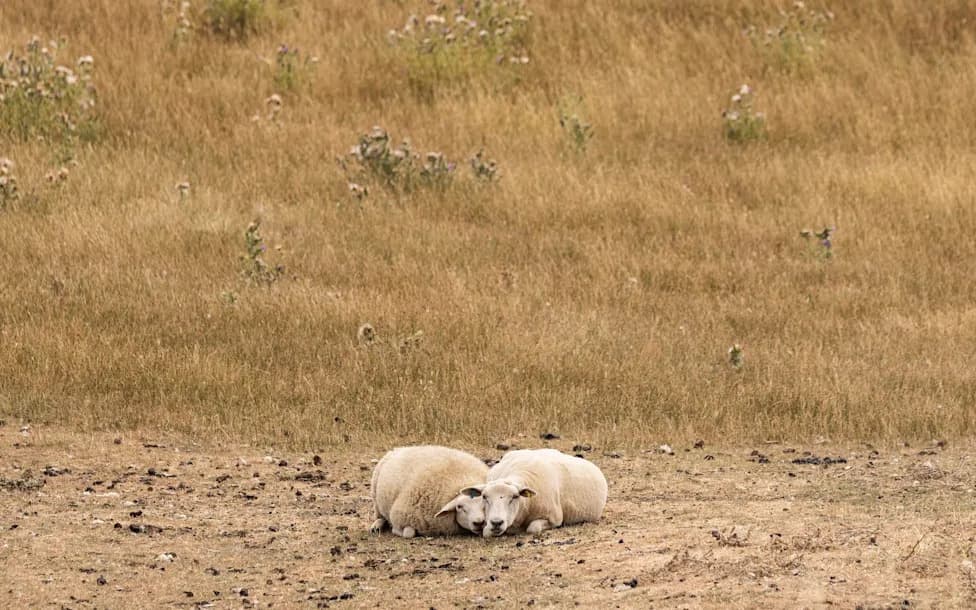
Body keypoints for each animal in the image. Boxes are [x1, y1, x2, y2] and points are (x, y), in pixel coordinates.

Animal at [475, 448, 608, 537]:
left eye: (515, 496)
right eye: (484, 497)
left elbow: (533, 528)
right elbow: (486, 532)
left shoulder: (554, 519)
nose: (496, 522)